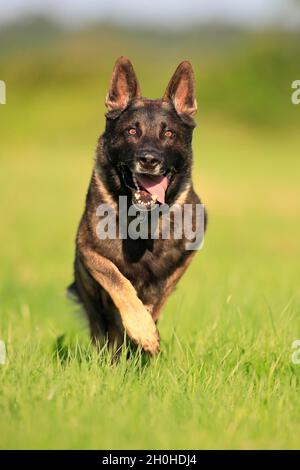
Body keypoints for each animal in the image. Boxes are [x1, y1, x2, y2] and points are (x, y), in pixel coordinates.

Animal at [69, 57, 206, 354]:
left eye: (168, 133)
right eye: (132, 131)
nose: (149, 159)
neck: (144, 219)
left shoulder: (185, 256)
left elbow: (160, 294)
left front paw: (147, 326)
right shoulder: (88, 250)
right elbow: (117, 280)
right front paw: (142, 330)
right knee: (102, 328)